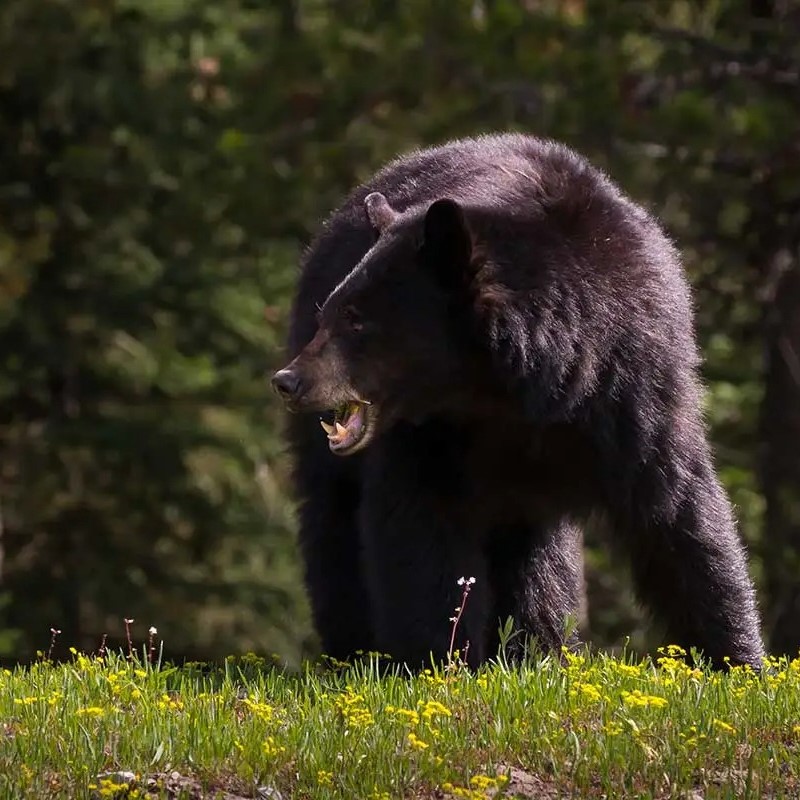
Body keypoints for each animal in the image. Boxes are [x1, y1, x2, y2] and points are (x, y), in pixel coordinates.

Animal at [272, 133, 764, 670]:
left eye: (357, 318)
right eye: (332, 311)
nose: (289, 380)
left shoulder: (632, 388)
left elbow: (679, 514)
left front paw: (740, 662)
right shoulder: (429, 436)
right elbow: (420, 529)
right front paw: (440, 662)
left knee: (540, 563)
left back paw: (538, 649)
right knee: (334, 522)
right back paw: (354, 652)